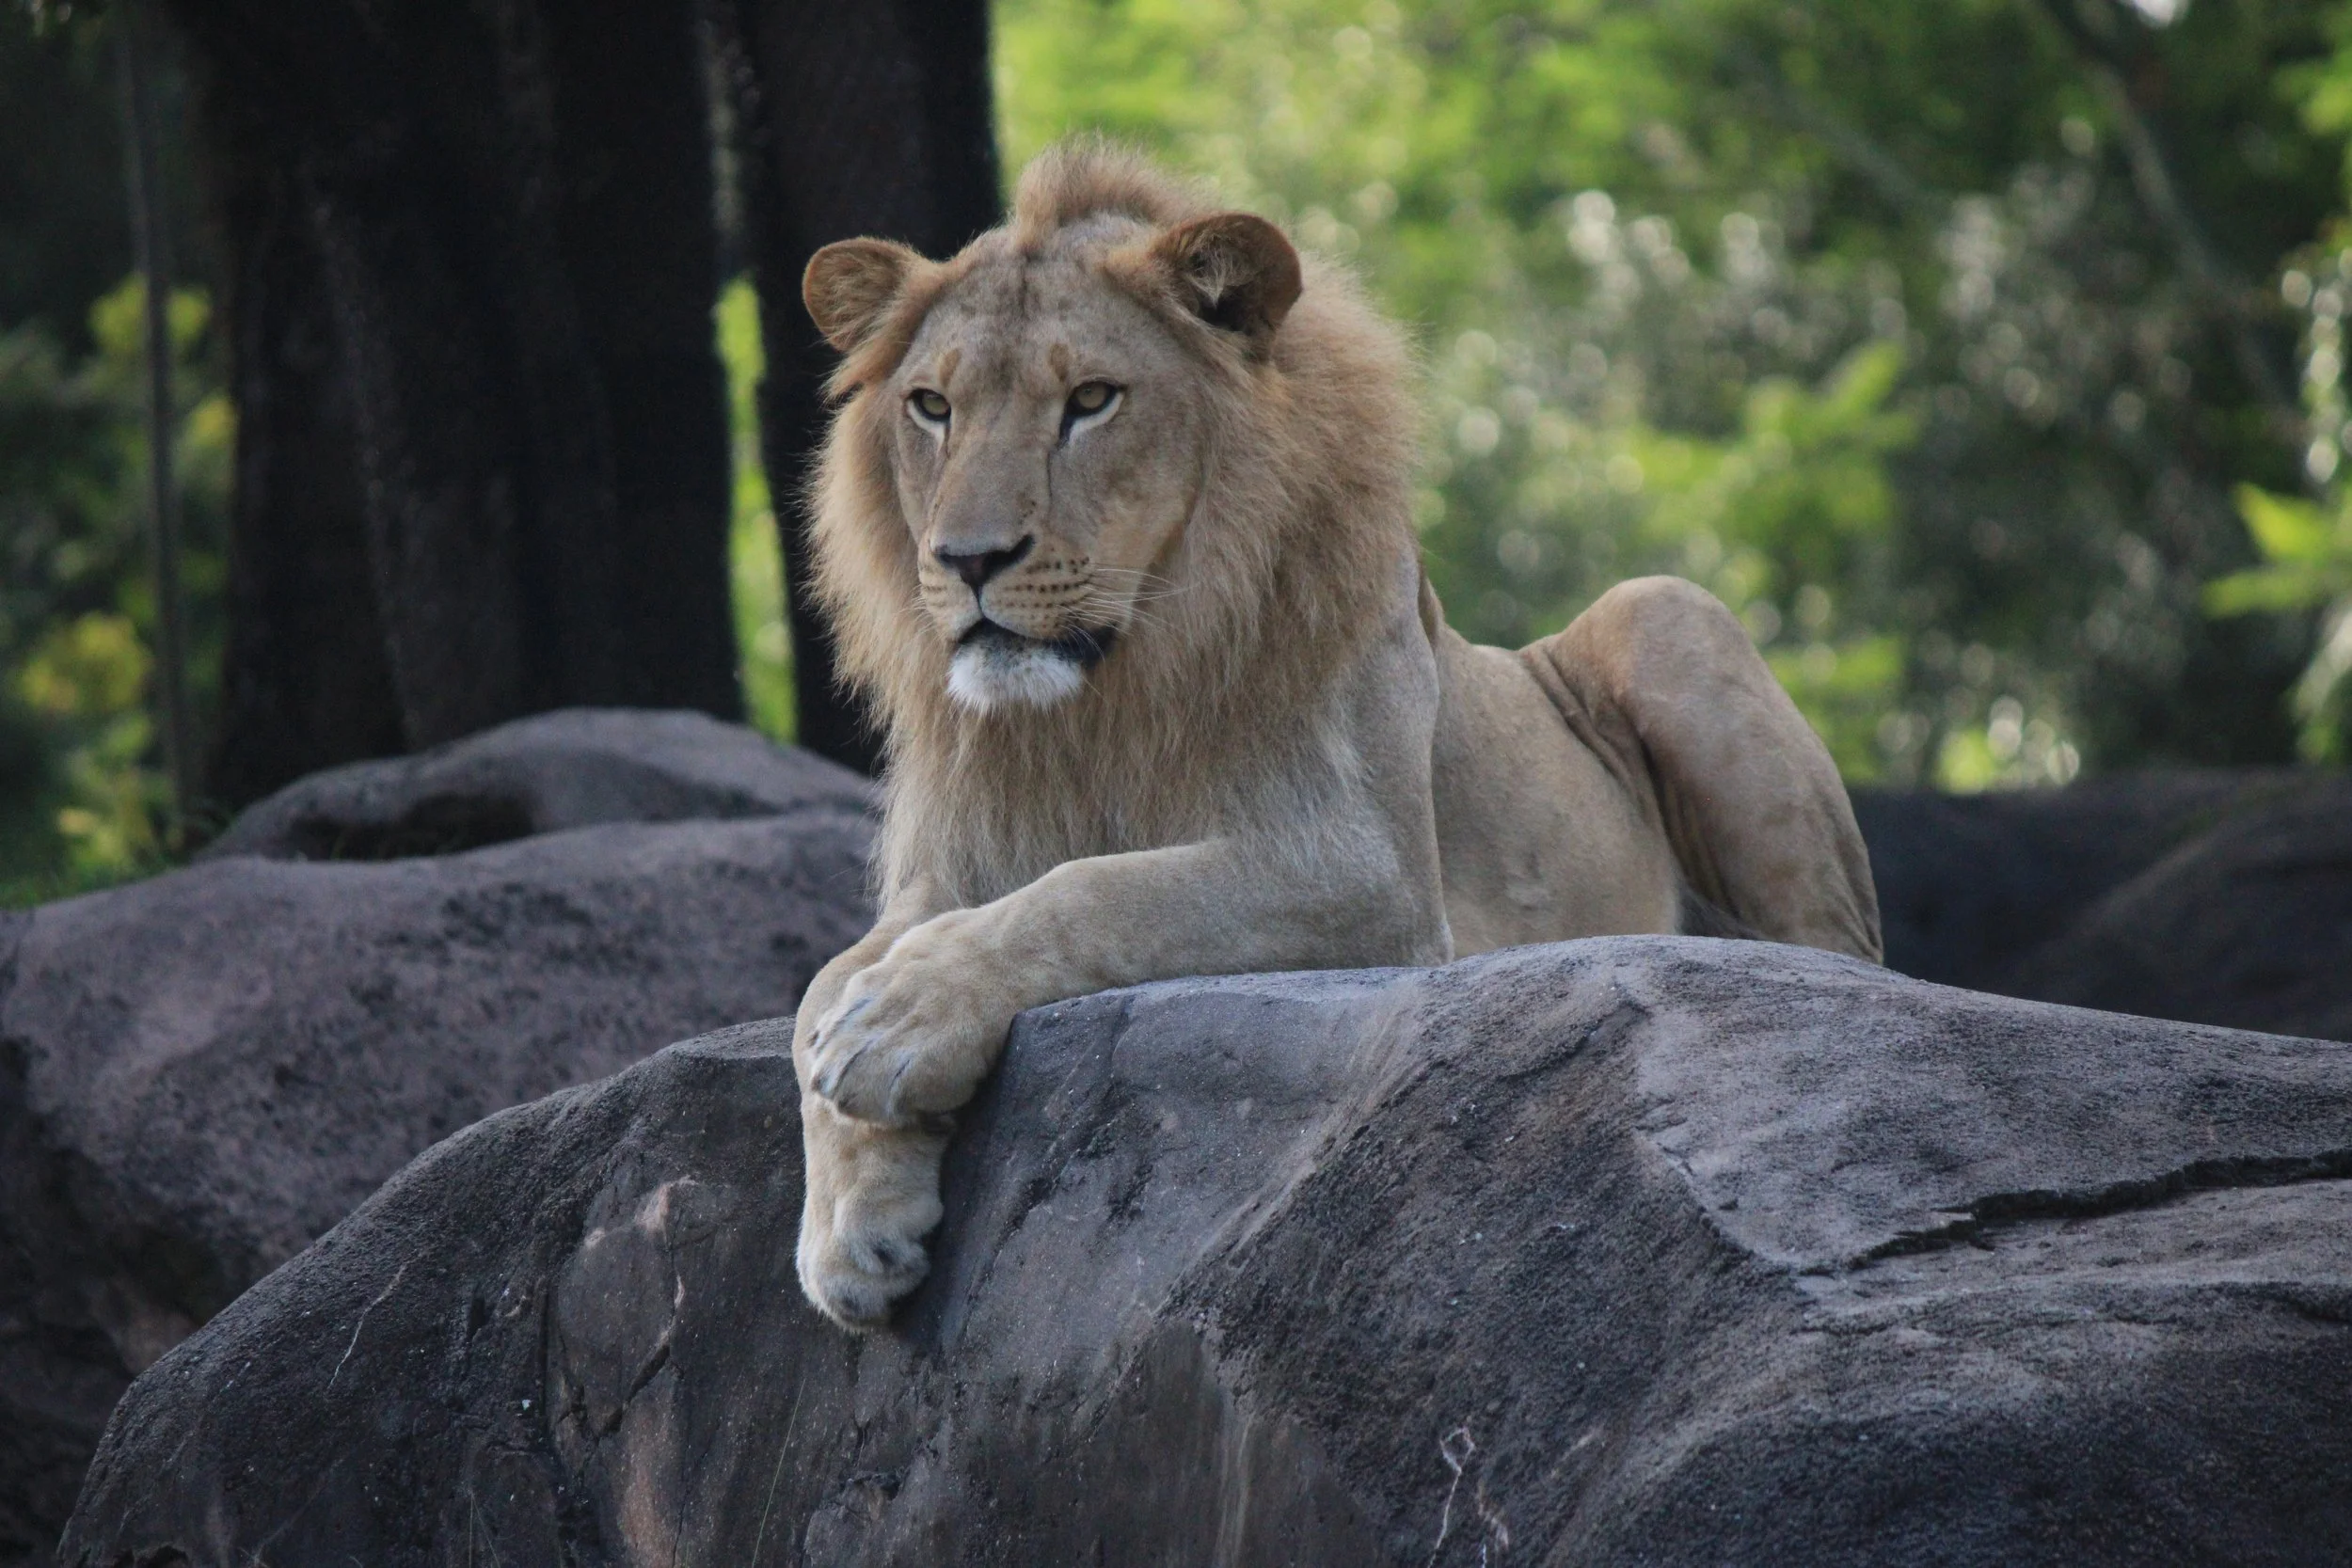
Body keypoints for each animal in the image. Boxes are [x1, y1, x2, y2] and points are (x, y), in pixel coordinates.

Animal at [790, 142, 1882, 1329]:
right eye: (931, 406)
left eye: (1090, 400)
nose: (968, 559)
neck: (1095, 704)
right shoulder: (940, 879)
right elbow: (816, 990)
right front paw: (850, 1221)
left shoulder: (1368, 874)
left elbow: (1095, 889)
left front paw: (897, 1022)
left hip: (1666, 609)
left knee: (1844, 975)